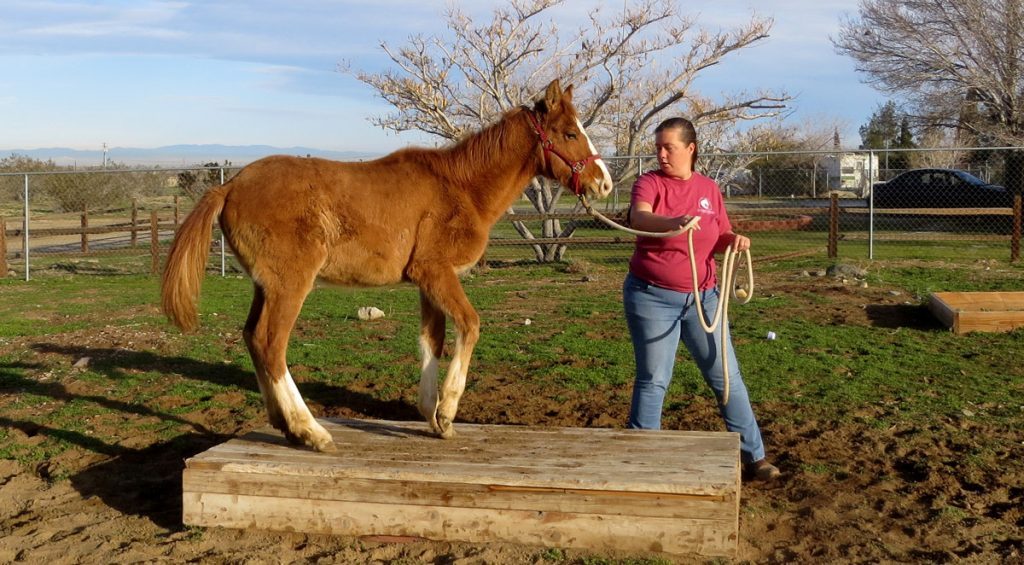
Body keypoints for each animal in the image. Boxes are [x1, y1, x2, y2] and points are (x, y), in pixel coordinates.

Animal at [157, 79, 606, 452]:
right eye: (570, 133)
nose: (603, 183)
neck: (460, 188)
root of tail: (230, 185)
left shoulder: (429, 282)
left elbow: (432, 340)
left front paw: (431, 415)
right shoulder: (436, 273)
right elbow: (470, 325)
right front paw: (447, 411)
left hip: (264, 286)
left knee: (252, 338)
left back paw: (285, 426)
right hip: (290, 284)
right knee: (271, 344)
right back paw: (311, 431)